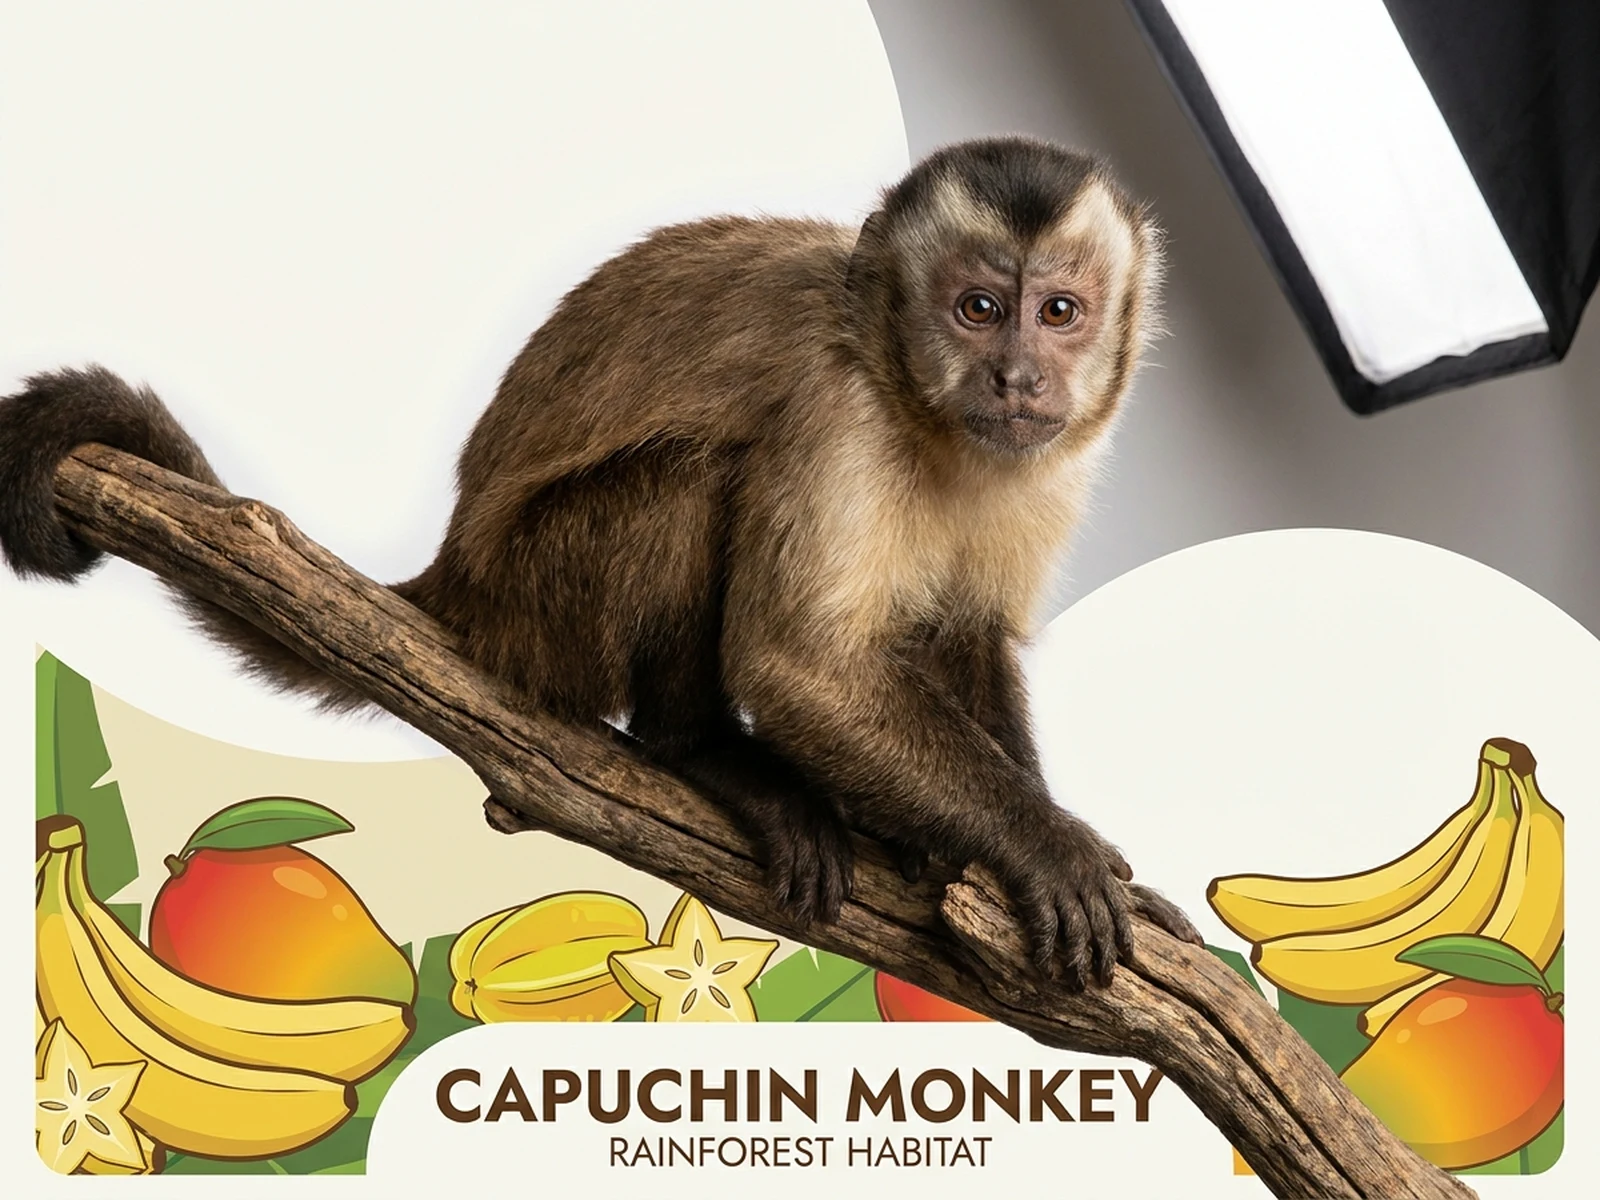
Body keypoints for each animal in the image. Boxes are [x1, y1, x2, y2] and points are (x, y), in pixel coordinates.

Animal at [0, 136, 1201, 988]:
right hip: (541, 600)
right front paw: (1043, 848)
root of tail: (457, 579)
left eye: (1059, 312)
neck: (921, 409)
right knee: (697, 478)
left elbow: (966, 635)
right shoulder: (836, 404)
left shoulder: (1051, 461)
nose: (1017, 376)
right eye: (977, 309)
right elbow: (796, 666)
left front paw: (1007, 853)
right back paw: (703, 753)